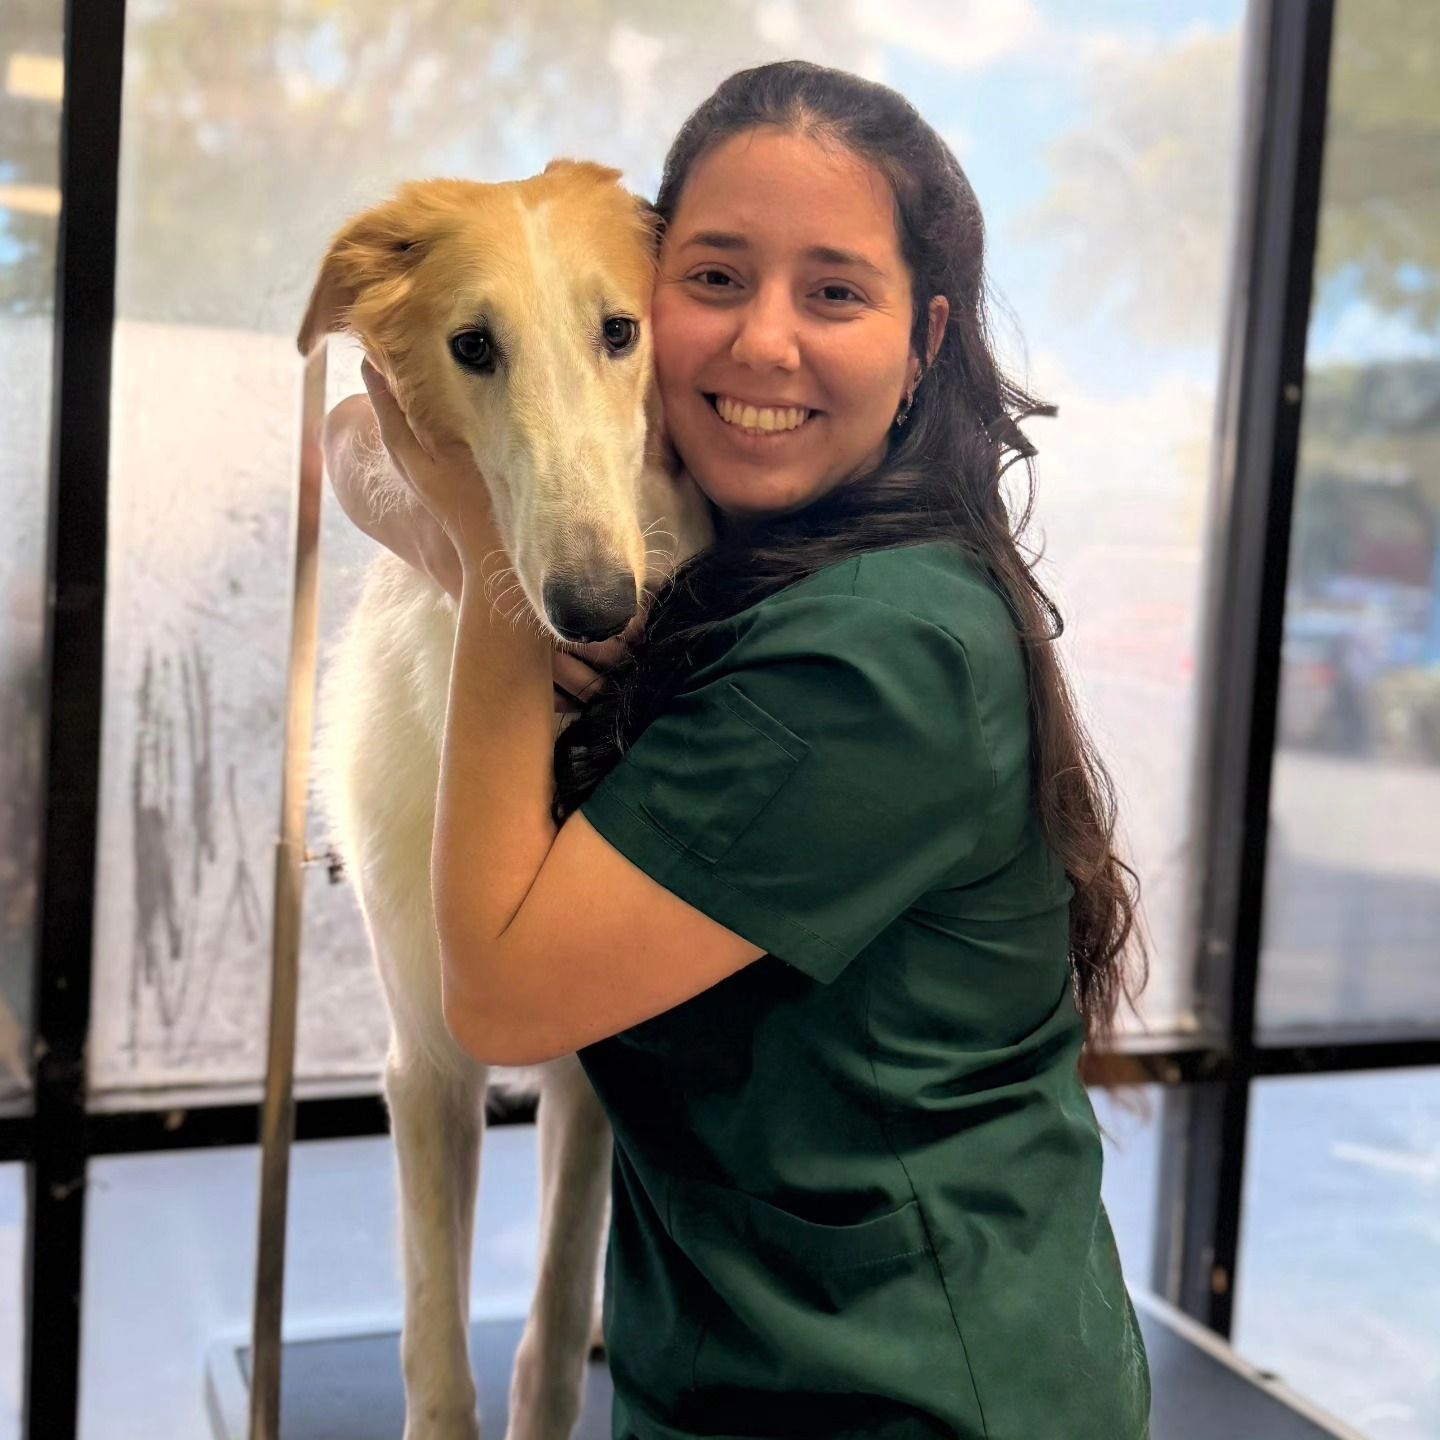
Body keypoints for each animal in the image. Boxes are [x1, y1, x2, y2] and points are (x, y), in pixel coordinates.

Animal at [298, 161, 714, 1440]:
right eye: (472, 345)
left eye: (621, 330)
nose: (597, 607)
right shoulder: (427, 1065)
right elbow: (438, 1359)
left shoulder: (589, 1082)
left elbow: (547, 1335)